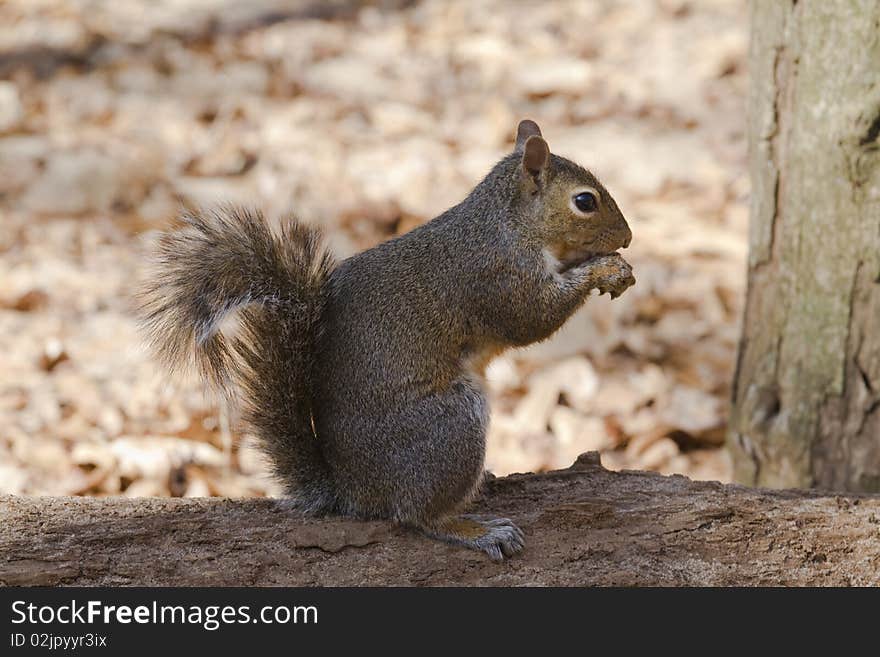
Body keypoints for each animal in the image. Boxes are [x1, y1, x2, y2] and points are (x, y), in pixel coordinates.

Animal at [136, 118, 632, 560]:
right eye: (585, 201)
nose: (627, 238)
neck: (506, 224)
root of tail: (354, 492)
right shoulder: (496, 277)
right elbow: (533, 319)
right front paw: (603, 270)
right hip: (449, 423)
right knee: (417, 514)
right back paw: (475, 530)